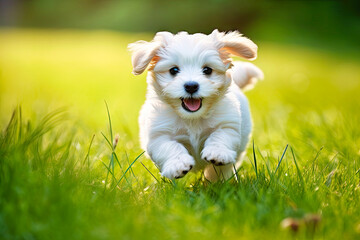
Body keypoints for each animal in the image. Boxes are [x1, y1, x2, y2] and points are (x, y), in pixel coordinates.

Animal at [128, 30, 262, 181]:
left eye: (207, 70)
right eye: (174, 70)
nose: (191, 86)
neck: (192, 118)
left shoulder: (227, 124)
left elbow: (220, 136)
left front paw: (217, 153)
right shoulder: (158, 134)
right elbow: (169, 146)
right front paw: (178, 164)